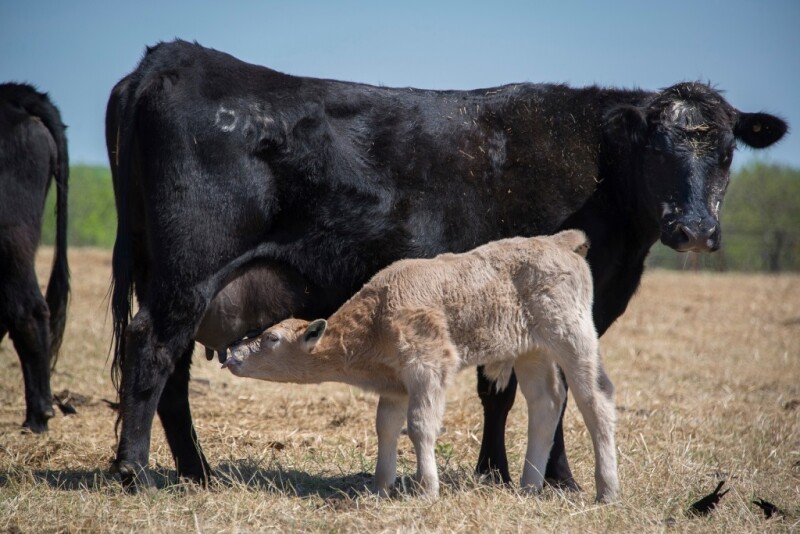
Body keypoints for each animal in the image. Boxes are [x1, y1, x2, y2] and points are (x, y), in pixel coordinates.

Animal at [223, 230, 619, 502]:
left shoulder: (428, 369)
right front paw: (380, 488)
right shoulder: (395, 385)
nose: (231, 353)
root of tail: (557, 241)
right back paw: (529, 486)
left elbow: (419, 426)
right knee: (546, 402)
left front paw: (426, 490)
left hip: (572, 336)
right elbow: (385, 427)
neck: (375, 317)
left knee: (595, 398)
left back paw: (607, 491)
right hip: (532, 352)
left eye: (272, 338)